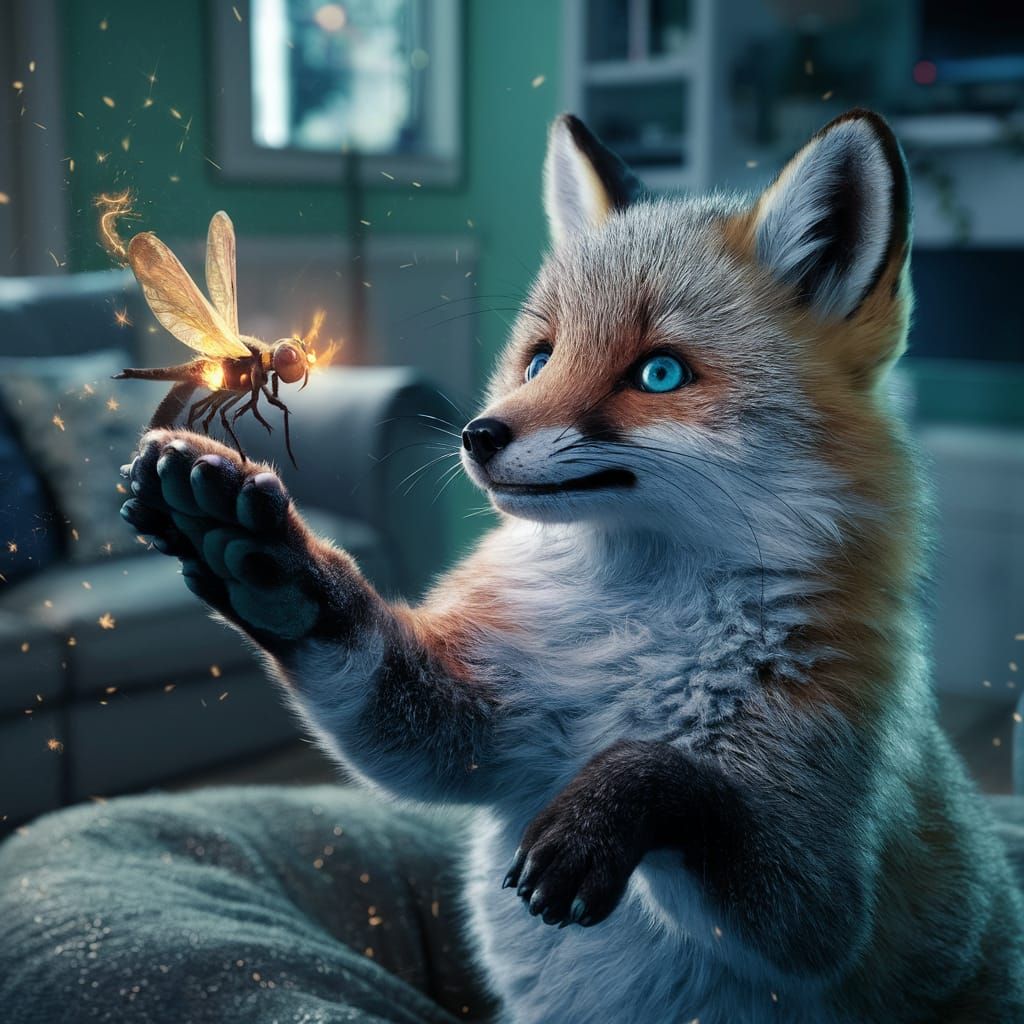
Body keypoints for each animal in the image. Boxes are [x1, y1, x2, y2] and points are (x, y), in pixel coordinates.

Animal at [120, 109, 1024, 1022]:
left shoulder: (824, 904)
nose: (478, 436)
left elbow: (674, 776)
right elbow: (368, 676)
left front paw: (602, 813)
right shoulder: (483, 738)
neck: (628, 632)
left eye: (659, 372)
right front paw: (271, 570)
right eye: (540, 358)